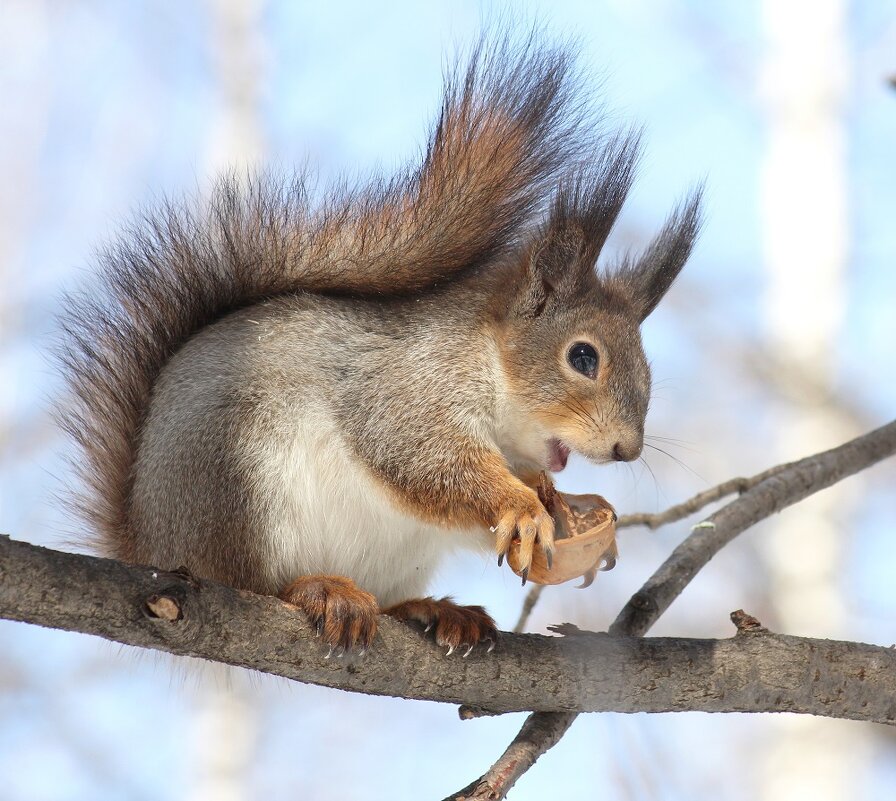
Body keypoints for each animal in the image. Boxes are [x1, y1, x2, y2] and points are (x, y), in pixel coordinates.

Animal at [57, 36, 700, 656]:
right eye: (583, 357)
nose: (627, 449)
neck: (491, 369)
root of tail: (150, 543)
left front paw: (556, 498)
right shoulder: (408, 386)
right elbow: (425, 460)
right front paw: (520, 504)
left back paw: (434, 610)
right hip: (237, 492)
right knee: (248, 580)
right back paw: (321, 590)